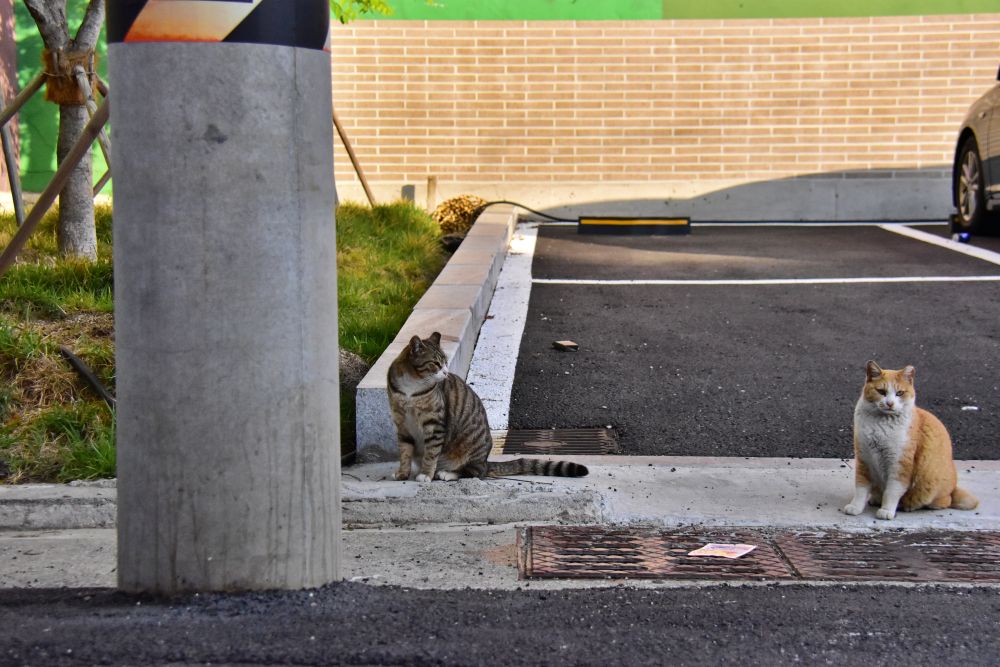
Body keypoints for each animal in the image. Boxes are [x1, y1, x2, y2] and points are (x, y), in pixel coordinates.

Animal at [382, 332, 584, 480]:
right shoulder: (402, 424)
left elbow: (431, 453)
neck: (411, 387)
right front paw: (403, 473)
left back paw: (447, 473)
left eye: (445, 362)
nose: (446, 372)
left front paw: (426, 474)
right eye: (435, 363)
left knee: (475, 472)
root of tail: (486, 461)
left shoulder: (435, 424)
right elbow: (405, 453)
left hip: (470, 447)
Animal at [844, 360, 976, 520]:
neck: (880, 423)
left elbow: (892, 491)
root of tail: (953, 488)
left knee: (944, 501)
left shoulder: (899, 463)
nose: (890, 403)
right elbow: (861, 488)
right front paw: (856, 507)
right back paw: (876, 499)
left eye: (899, 393)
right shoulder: (864, 459)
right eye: (881, 391)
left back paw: (908, 505)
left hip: (932, 486)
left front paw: (887, 510)